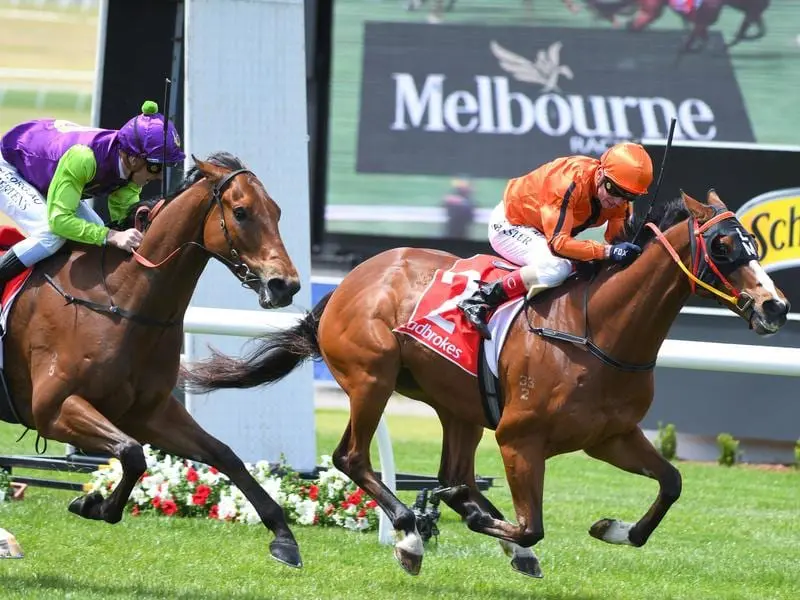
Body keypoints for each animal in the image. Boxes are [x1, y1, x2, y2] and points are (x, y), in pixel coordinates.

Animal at [0, 150, 304, 568]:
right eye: (241, 212)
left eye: (276, 211)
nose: (285, 285)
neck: (125, 302)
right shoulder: (52, 409)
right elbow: (132, 454)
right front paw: (93, 503)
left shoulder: (149, 414)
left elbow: (225, 455)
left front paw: (283, 537)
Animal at [180, 191, 788, 576]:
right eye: (726, 247)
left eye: (756, 244)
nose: (775, 306)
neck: (599, 329)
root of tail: (354, 278)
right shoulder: (521, 439)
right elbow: (531, 527)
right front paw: (477, 529)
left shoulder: (611, 437)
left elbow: (671, 484)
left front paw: (613, 529)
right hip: (372, 378)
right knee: (353, 457)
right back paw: (409, 533)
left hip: (460, 407)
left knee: (455, 474)